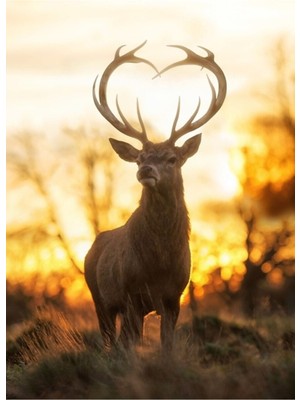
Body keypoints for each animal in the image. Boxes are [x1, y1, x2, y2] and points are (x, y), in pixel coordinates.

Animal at [83, 42, 226, 352]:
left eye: (172, 158)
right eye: (139, 158)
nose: (146, 170)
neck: (159, 264)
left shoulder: (175, 297)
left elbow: (167, 345)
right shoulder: (130, 295)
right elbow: (131, 344)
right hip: (98, 297)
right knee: (111, 340)